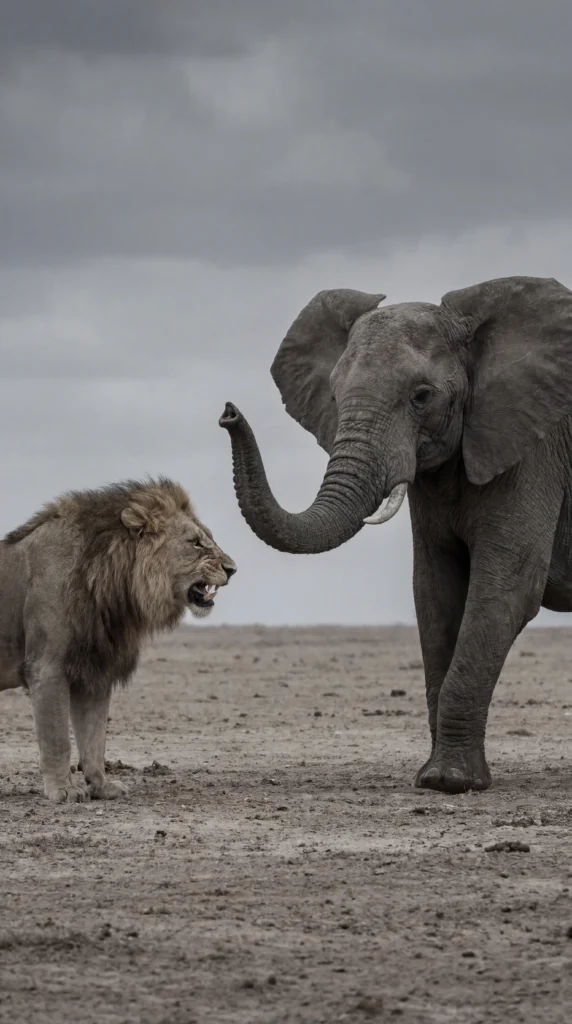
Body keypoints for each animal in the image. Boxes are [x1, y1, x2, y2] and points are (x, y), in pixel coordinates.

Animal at [219, 276, 572, 793]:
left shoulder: (534, 449)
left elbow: (504, 592)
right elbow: (435, 592)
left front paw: (451, 782)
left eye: (422, 396)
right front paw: (434, 777)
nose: (227, 413)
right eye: (333, 394)